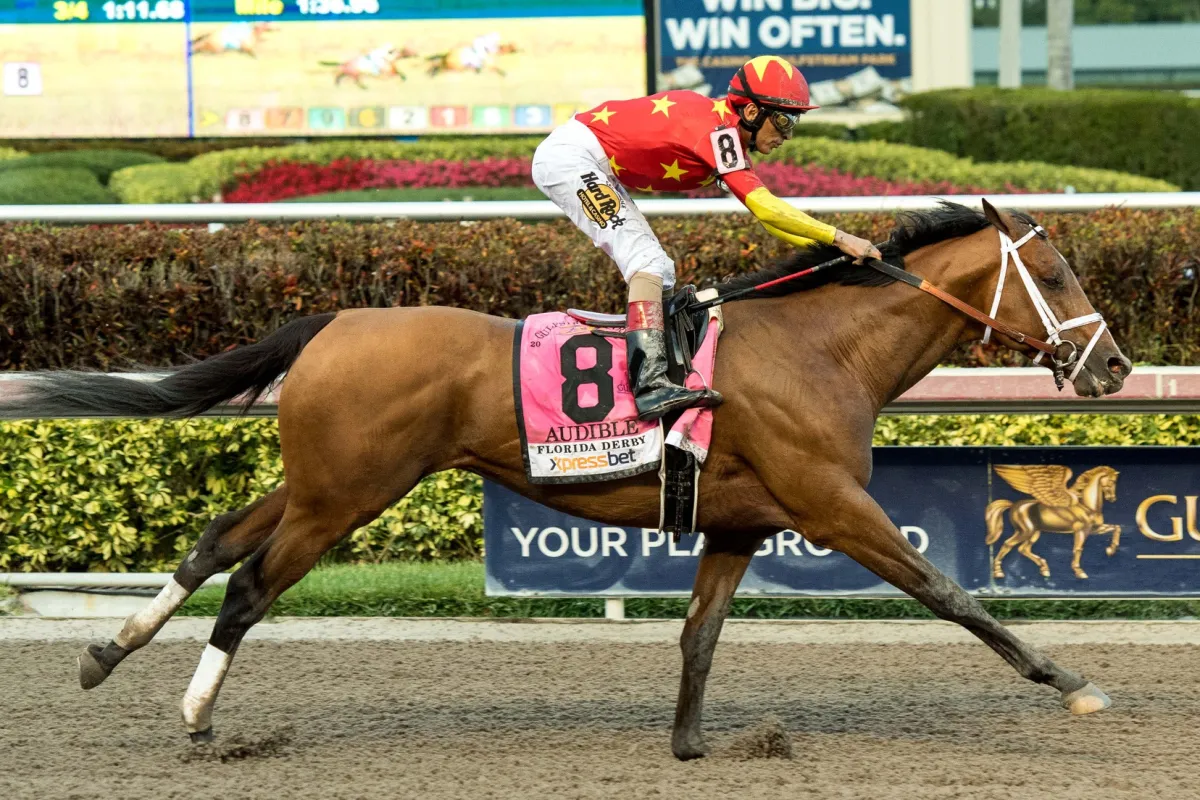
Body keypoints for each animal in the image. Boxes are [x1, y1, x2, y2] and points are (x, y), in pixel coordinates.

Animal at [987, 465, 1121, 580]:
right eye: (1112, 481)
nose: (1113, 499)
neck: (1087, 507)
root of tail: (1013, 505)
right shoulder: (1081, 531)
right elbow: (1078, 549)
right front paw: (1079, 572)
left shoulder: (1094, 529)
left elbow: (1116, 527)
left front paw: (1110, 550)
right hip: (1025, 531)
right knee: (1008, 544)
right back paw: (998, 572)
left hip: (1035, 532)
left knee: (1023, 549)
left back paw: (1044, 568)